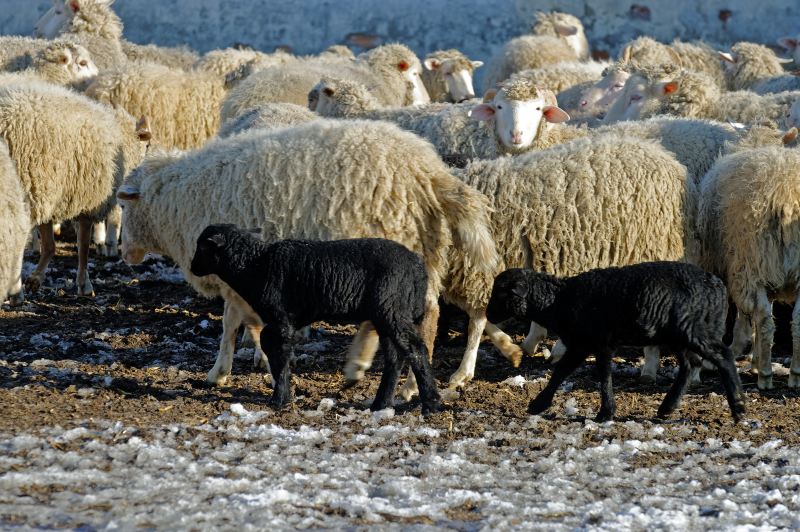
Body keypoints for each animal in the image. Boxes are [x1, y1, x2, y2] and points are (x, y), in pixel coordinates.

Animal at [0, 80, 149, 296]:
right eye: (147, 146)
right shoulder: (89, 201)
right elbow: (83, 246)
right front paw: (84, 284)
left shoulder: (47, 196)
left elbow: (49, 245)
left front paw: (36, 279)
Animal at [114, 120, 500, 394]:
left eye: (124, 206)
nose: (124, 253)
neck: (180, 198)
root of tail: (431, 172)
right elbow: (239, 321)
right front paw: (233, 368)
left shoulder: (240, 274)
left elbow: (232, 322)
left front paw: (233, 370)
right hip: (422, 254)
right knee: (420, 318)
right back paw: (372, 371)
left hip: (394, 249)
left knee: (419, 322)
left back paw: (394, 383)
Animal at [190, 222, 440, 414]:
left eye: (202, 246)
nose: (192, 268)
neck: (255, 265)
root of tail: (419, 268)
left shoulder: (280, 319)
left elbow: (278, 355)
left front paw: (280, 399)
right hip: (388, 315)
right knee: (395, 357)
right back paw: (381, 404)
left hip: (392, 311)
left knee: (416, 348)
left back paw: (431, 402)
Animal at [484, 262, 748, 424]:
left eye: (501, 292)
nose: (488, 315)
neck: (558, 301)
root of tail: (718, 286)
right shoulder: (597, 344)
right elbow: (597, 374)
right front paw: (605, 411)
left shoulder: (585, 342)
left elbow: (567, 372)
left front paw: (539, 405)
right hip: (679, 335)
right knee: (691, 364)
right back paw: (667, 408)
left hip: (693, 330)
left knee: (723, 356)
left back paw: (739, 407)